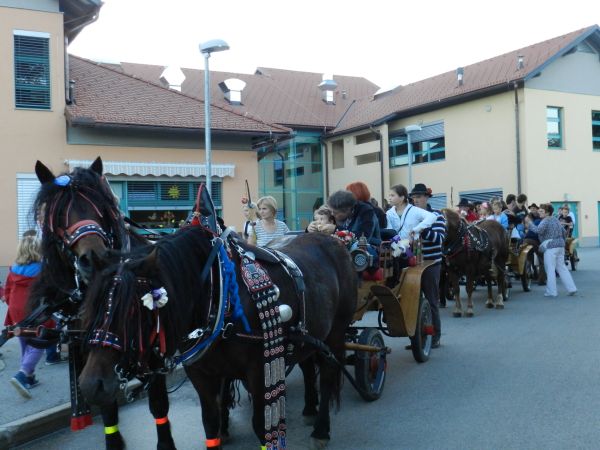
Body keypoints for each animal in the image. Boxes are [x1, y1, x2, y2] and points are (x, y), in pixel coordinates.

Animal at [28, 158, 176, 450]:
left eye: (100, 208)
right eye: (59, 214)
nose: (95, 257)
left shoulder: (154, 352)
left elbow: (158, 403)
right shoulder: (93, 351)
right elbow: (105, 402)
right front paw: (113, 440)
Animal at [78, 227, 358, 449]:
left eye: (133, 311)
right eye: (92, 307)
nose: (91, 385)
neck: (218, 299)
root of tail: (333, 240)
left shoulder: (258, 371)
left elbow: (261, 425)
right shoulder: (201, 374)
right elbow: (210, 423)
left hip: (335, 333)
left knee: (328, 375)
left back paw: (321, 429)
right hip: (307, 335)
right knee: (309, 367)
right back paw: (310, 409)